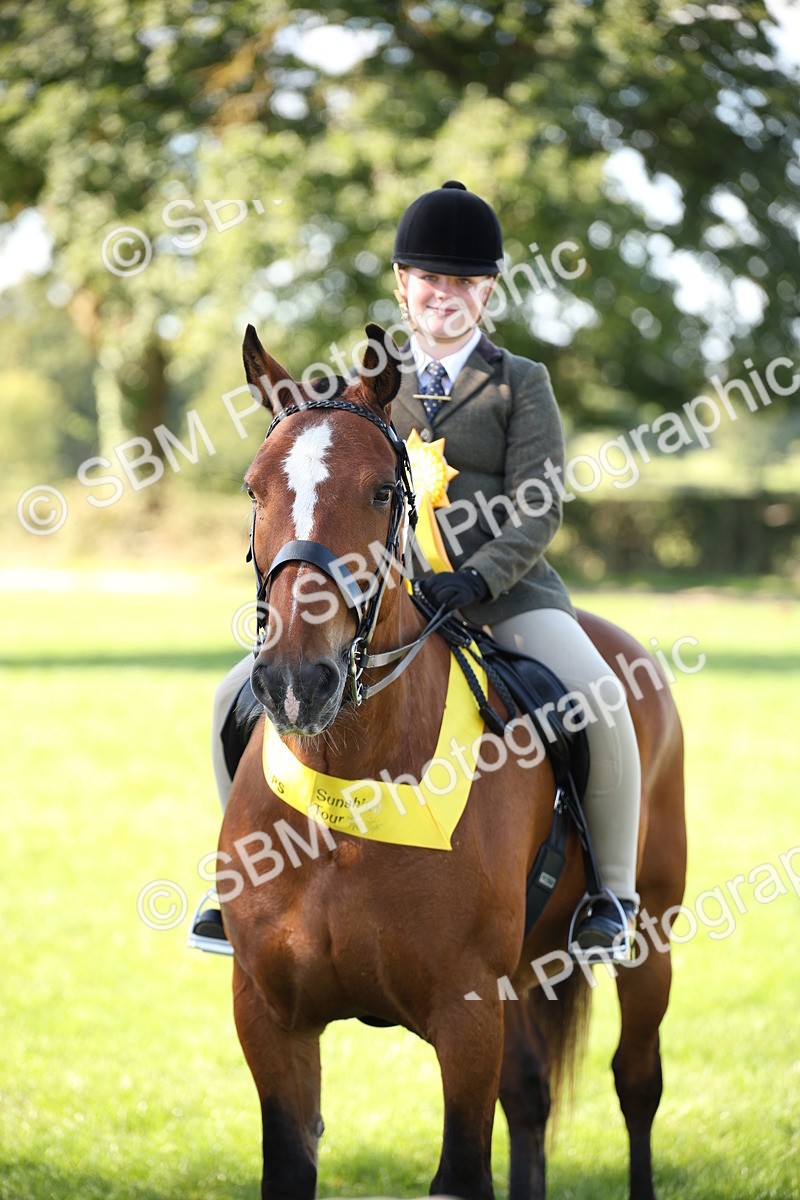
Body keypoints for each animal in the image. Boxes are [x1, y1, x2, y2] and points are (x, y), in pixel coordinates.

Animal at [217, 322, 687, 1200]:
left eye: (380, 492)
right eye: (254, 491)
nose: (296, 681)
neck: (353, 791)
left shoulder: (467, 1014)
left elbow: (462, 1171)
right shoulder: (268, 1013)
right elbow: (291, 1165)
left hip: (651, 938)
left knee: (637, 1083)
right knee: (531, 1095)